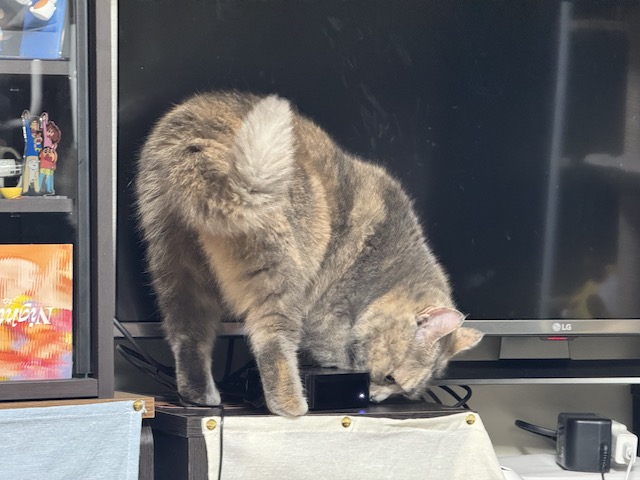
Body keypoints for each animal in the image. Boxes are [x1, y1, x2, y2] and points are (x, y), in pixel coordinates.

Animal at [135, 91, 483, 417]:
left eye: (403, 394)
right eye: (391, 379)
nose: (374, 400)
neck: (385, 274)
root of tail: (200, 133)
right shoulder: (327, 320)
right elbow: (336, 353)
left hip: (177, 264)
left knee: (187, 333)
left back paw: (199, 395)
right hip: (283, 275)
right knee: (271, 341)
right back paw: (292, 405)